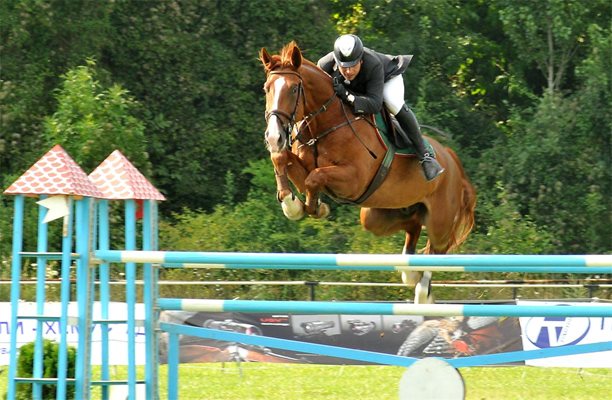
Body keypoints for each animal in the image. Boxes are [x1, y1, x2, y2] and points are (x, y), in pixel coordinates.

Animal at [260, 41, 476, 304]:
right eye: (266, 89)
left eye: (293, 89)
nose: (274, 137)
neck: (325, 124)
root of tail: (452, 161)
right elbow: (282, 159)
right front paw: (292, 203)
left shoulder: (353, 180)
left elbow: (315, 177)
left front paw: (313, 207)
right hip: (379, 215)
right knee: (413, 226)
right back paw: (410, 273)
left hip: (440, 221)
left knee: (437, 250)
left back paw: (423, 290)